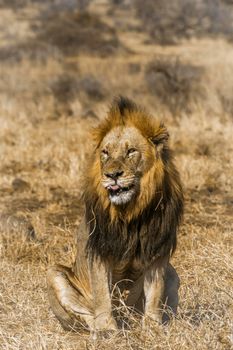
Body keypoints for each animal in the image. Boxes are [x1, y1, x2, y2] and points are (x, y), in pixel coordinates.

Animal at [46, 95, 184, 334]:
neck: (131, 211)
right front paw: (106, 329)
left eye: (131, 151)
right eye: (105, 153)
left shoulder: (158, 251)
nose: (112, 175)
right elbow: (102, 293)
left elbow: (154, 293)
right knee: (84, 315)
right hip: (53, 273)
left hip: (173, 273)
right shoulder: (99, 249)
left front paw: (152, 327)